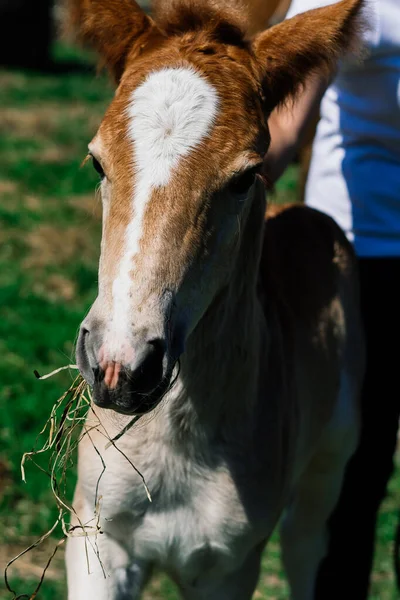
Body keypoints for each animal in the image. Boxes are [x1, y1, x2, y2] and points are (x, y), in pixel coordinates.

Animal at [66, 2, 366, 596]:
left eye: (246, 178)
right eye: (96, 162)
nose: (119, 367)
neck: (172, 452)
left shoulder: (229, 567)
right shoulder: (96, 542)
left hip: (329, 465)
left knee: (306, 543)